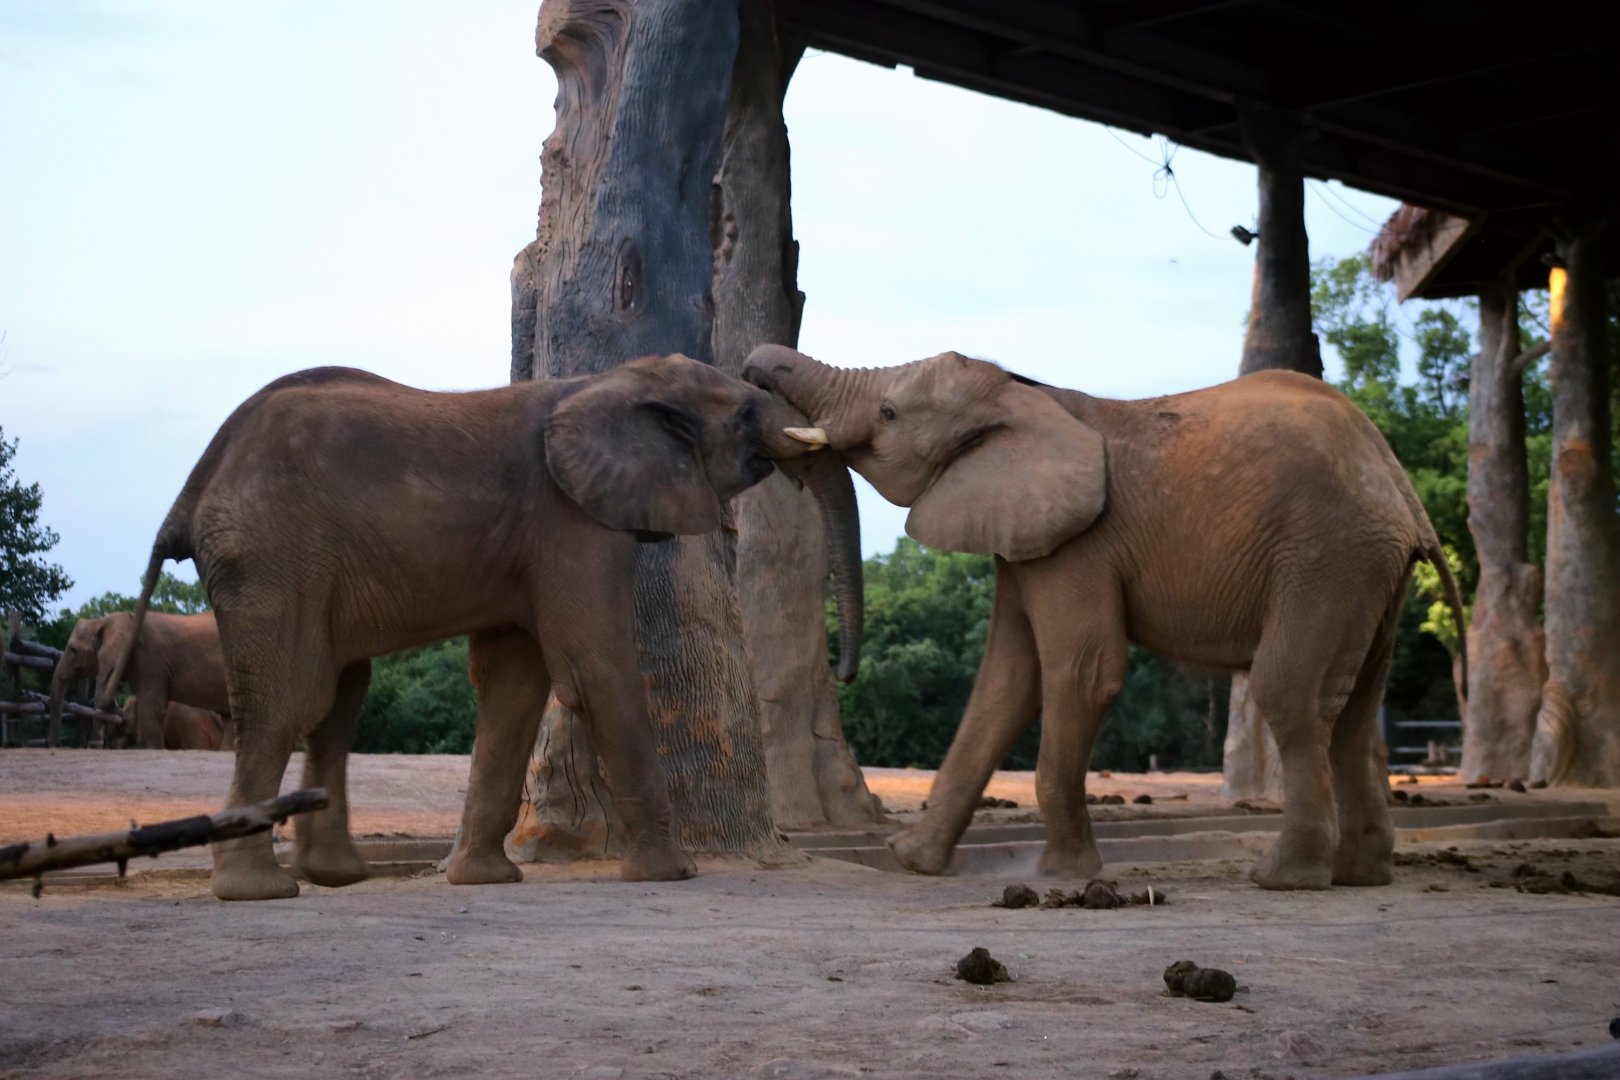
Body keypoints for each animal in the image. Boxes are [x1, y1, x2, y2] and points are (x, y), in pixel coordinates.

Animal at [116, 354, 861, 901]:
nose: (848, 670)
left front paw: (486, 880)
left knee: (339, 700)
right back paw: (258, 891)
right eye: (744, 415)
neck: (608, 381)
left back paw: (335, 877)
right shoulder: (570, 521)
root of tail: (192, 488)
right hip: (272, 553)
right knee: (290, 701)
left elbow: (513, 688)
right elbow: (594, 669)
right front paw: (674, 875)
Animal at [745, 345, 1465, 890]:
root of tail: (1400, 485)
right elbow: (1003, 684)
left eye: (890, 412)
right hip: (1368, 568)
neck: (1021, 395)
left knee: (1288, 692)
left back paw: (1284, 878)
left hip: (1327, 555)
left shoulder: (1081, 545)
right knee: (1355, 708)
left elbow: (1080, 674)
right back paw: (1361, 874)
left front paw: (1062, 874)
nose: (846, 675)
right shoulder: (1028, 538)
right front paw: (912, 862)